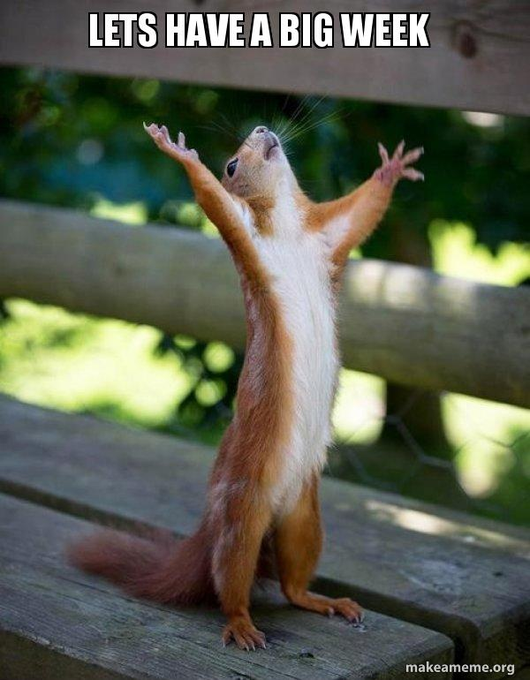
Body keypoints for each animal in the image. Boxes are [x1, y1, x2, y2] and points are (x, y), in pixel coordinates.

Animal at [69, 122, 423, 651]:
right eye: (232, 164)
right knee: (230, 580)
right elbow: (213, 200)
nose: (261, 129)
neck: (289, 228)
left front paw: (391, 169)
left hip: (304, 517)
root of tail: (211, 527)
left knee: (293, 583)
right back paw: (241, 624)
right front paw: (180, 153)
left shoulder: (328, 236)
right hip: (242, 514)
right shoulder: (245, 234)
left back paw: (324, 601)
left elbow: (361, 212)